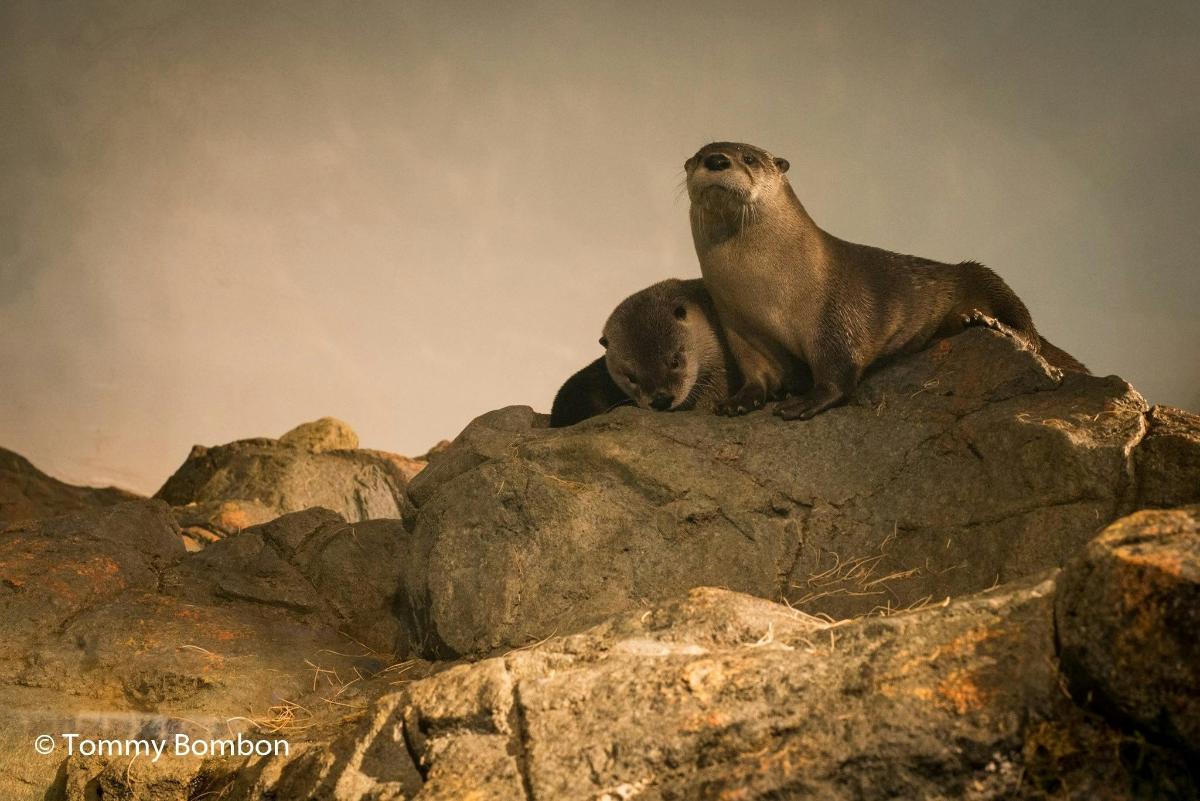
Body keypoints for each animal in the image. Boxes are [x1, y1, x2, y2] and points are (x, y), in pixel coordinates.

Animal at [686, 141, 1089, 422]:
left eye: (749, 158)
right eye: (697, 156)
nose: (717, 160)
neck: (764, 287)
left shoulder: (834, 314)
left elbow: (838, 371)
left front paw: (804, 402)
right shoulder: (741, 327)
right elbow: (757, 372)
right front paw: (739, 401)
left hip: (982, 274)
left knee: (1030, 333)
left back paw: (986, 321)